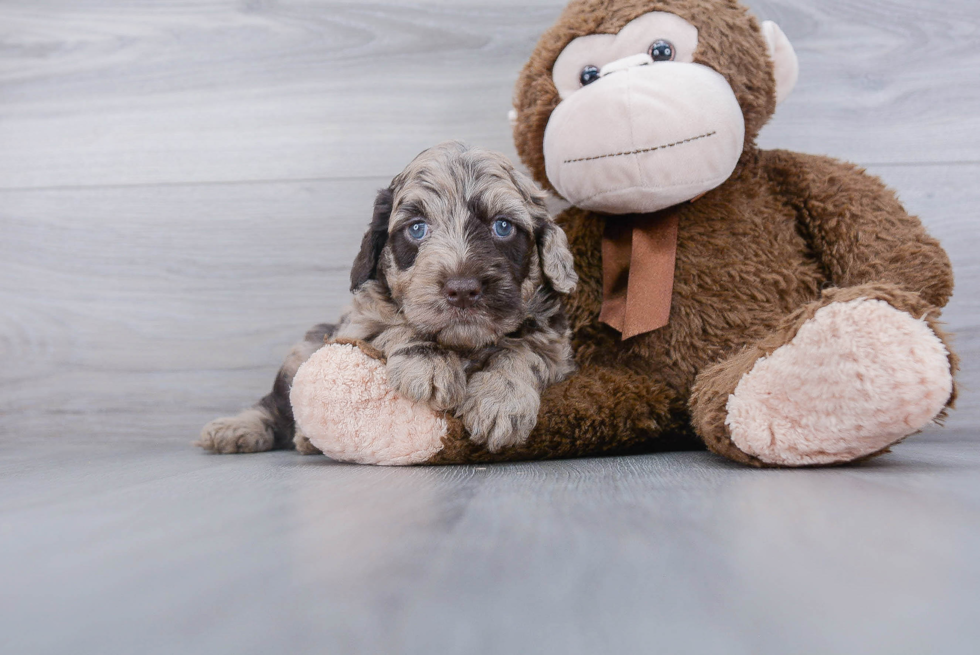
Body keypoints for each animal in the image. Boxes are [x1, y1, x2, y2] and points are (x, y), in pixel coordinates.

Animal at [202, 141, 580, 456]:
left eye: (503, 227)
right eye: (417, 228)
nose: (462, 289)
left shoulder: (554, 341)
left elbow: (523, 351)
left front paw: (500, 400)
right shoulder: (360, 318)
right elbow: (394, 323)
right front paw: (429, 364)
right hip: (302, 351)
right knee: (277, 406)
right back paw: (239, 429)